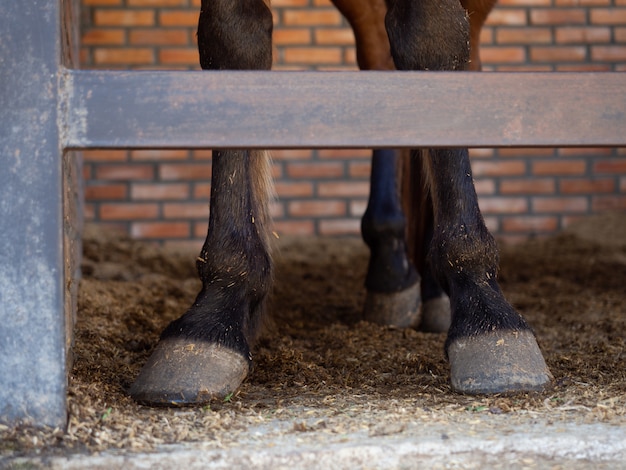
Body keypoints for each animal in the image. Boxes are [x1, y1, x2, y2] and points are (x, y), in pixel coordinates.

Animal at [128, 0, 552, 404]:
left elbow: (434, 37)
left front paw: (483, 308)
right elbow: (231, 42)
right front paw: (216, 309)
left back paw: (435, 289)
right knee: (383, 64)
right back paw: (395, 272)